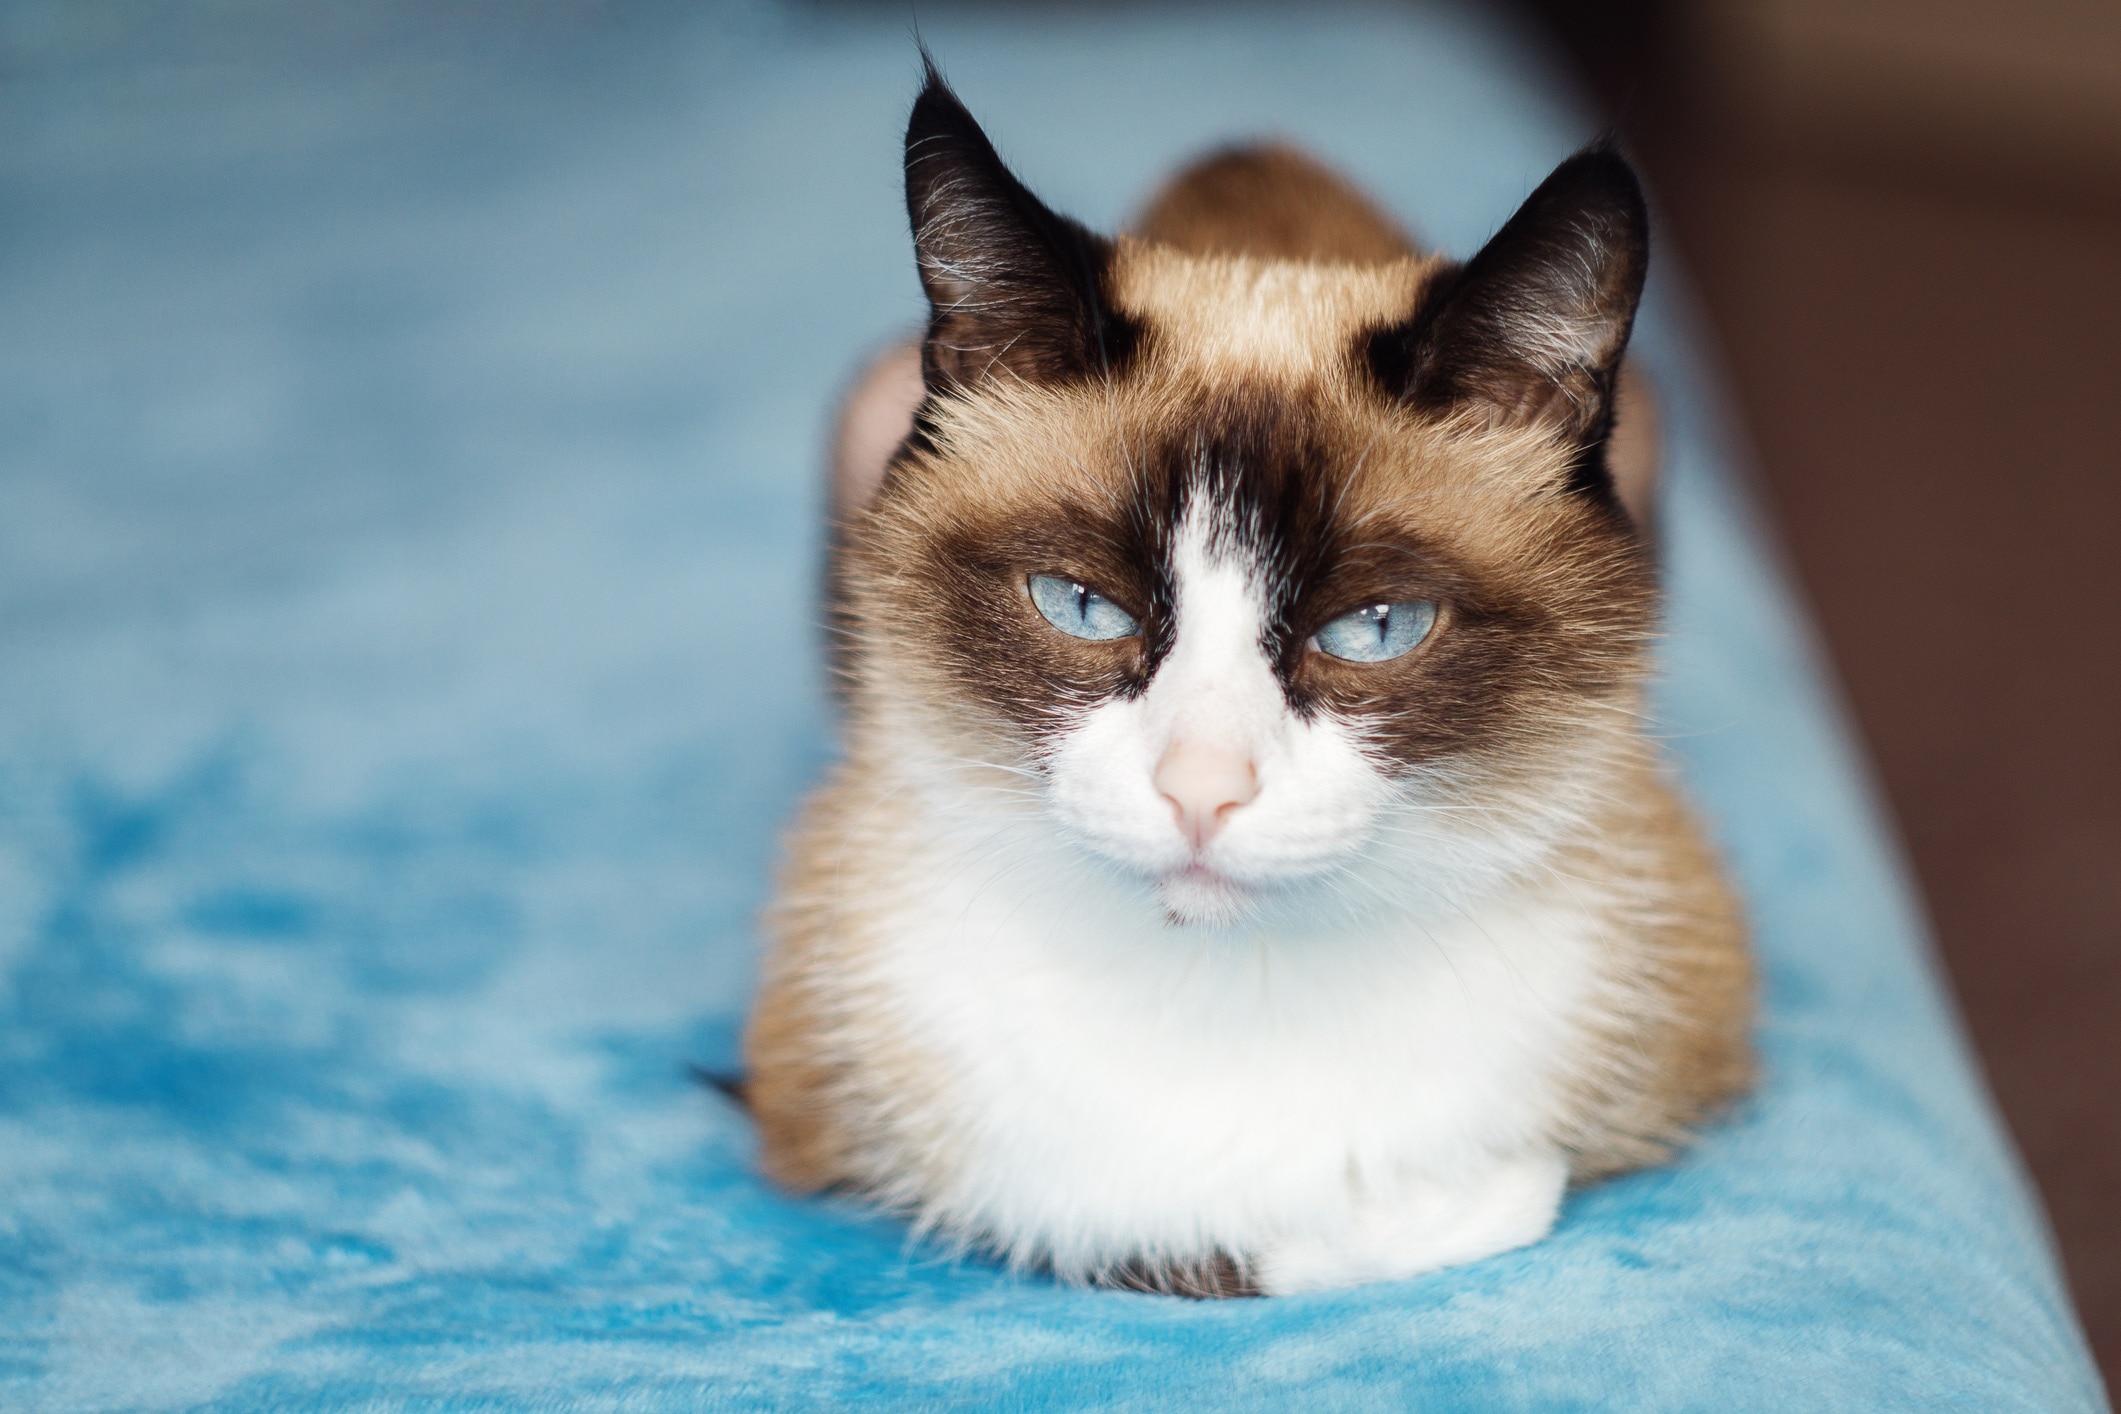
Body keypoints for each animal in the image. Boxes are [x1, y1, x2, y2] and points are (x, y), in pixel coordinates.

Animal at [738, 68, 1747, 1305]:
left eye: (1375, 629)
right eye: (1083, 607)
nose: (1201, 790)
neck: (1232, 983)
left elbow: (1484, 1193)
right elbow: (1170, 1231)